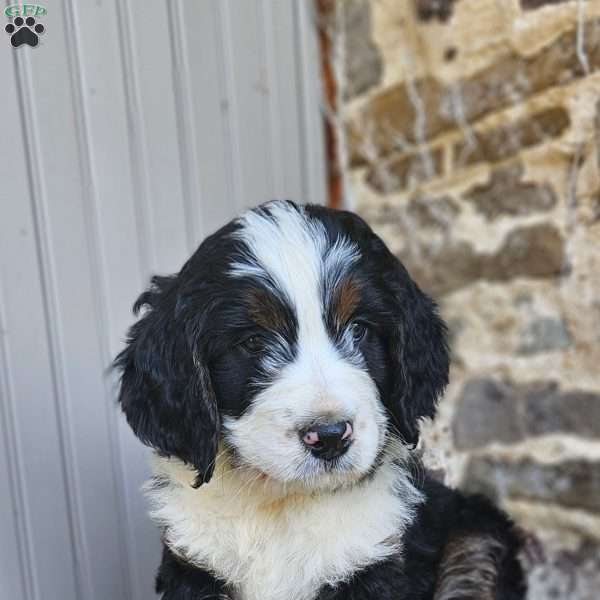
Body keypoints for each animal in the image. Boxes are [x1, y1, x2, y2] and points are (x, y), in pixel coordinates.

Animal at [115, 200, 528, 600]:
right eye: (253, 342)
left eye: (359, 329)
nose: (329, 436)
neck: (281, 504)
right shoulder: (195, 560)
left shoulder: (374, 554)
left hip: (474, 544)